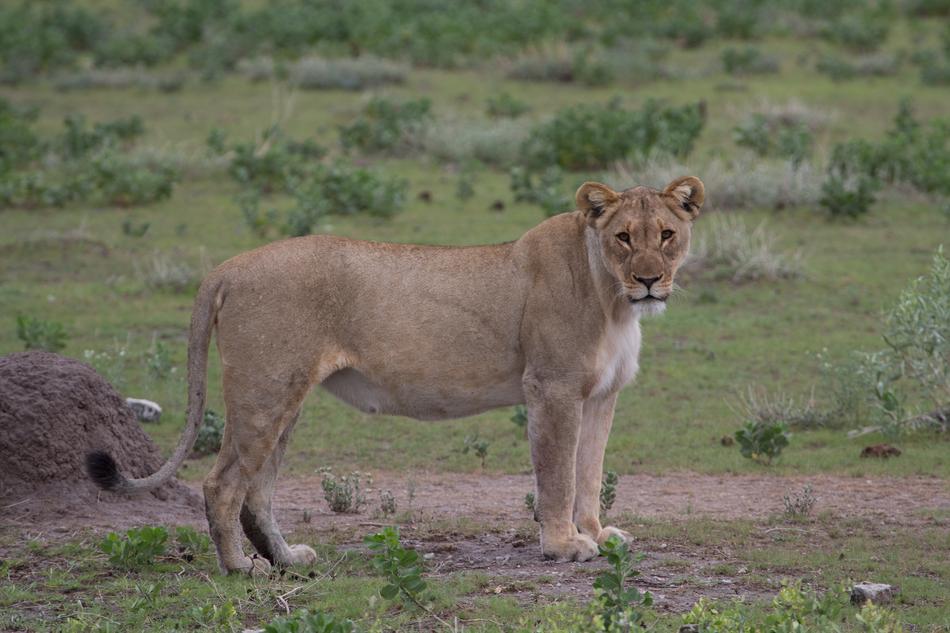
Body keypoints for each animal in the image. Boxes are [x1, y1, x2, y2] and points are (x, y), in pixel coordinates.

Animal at [87, 176, 705, 574]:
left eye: (665, 235)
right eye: (623, 237)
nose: (649, 280)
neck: (613, 299)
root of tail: (227, 266)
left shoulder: (599, 396)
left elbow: (590, 472)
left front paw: (597, 534)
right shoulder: (551, 388)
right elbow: (557, 476)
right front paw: (563, 546)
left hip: (284, 398)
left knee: (256, 491)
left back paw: (287, 560)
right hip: (264, 392)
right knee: (222, 484)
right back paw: (240, 569)